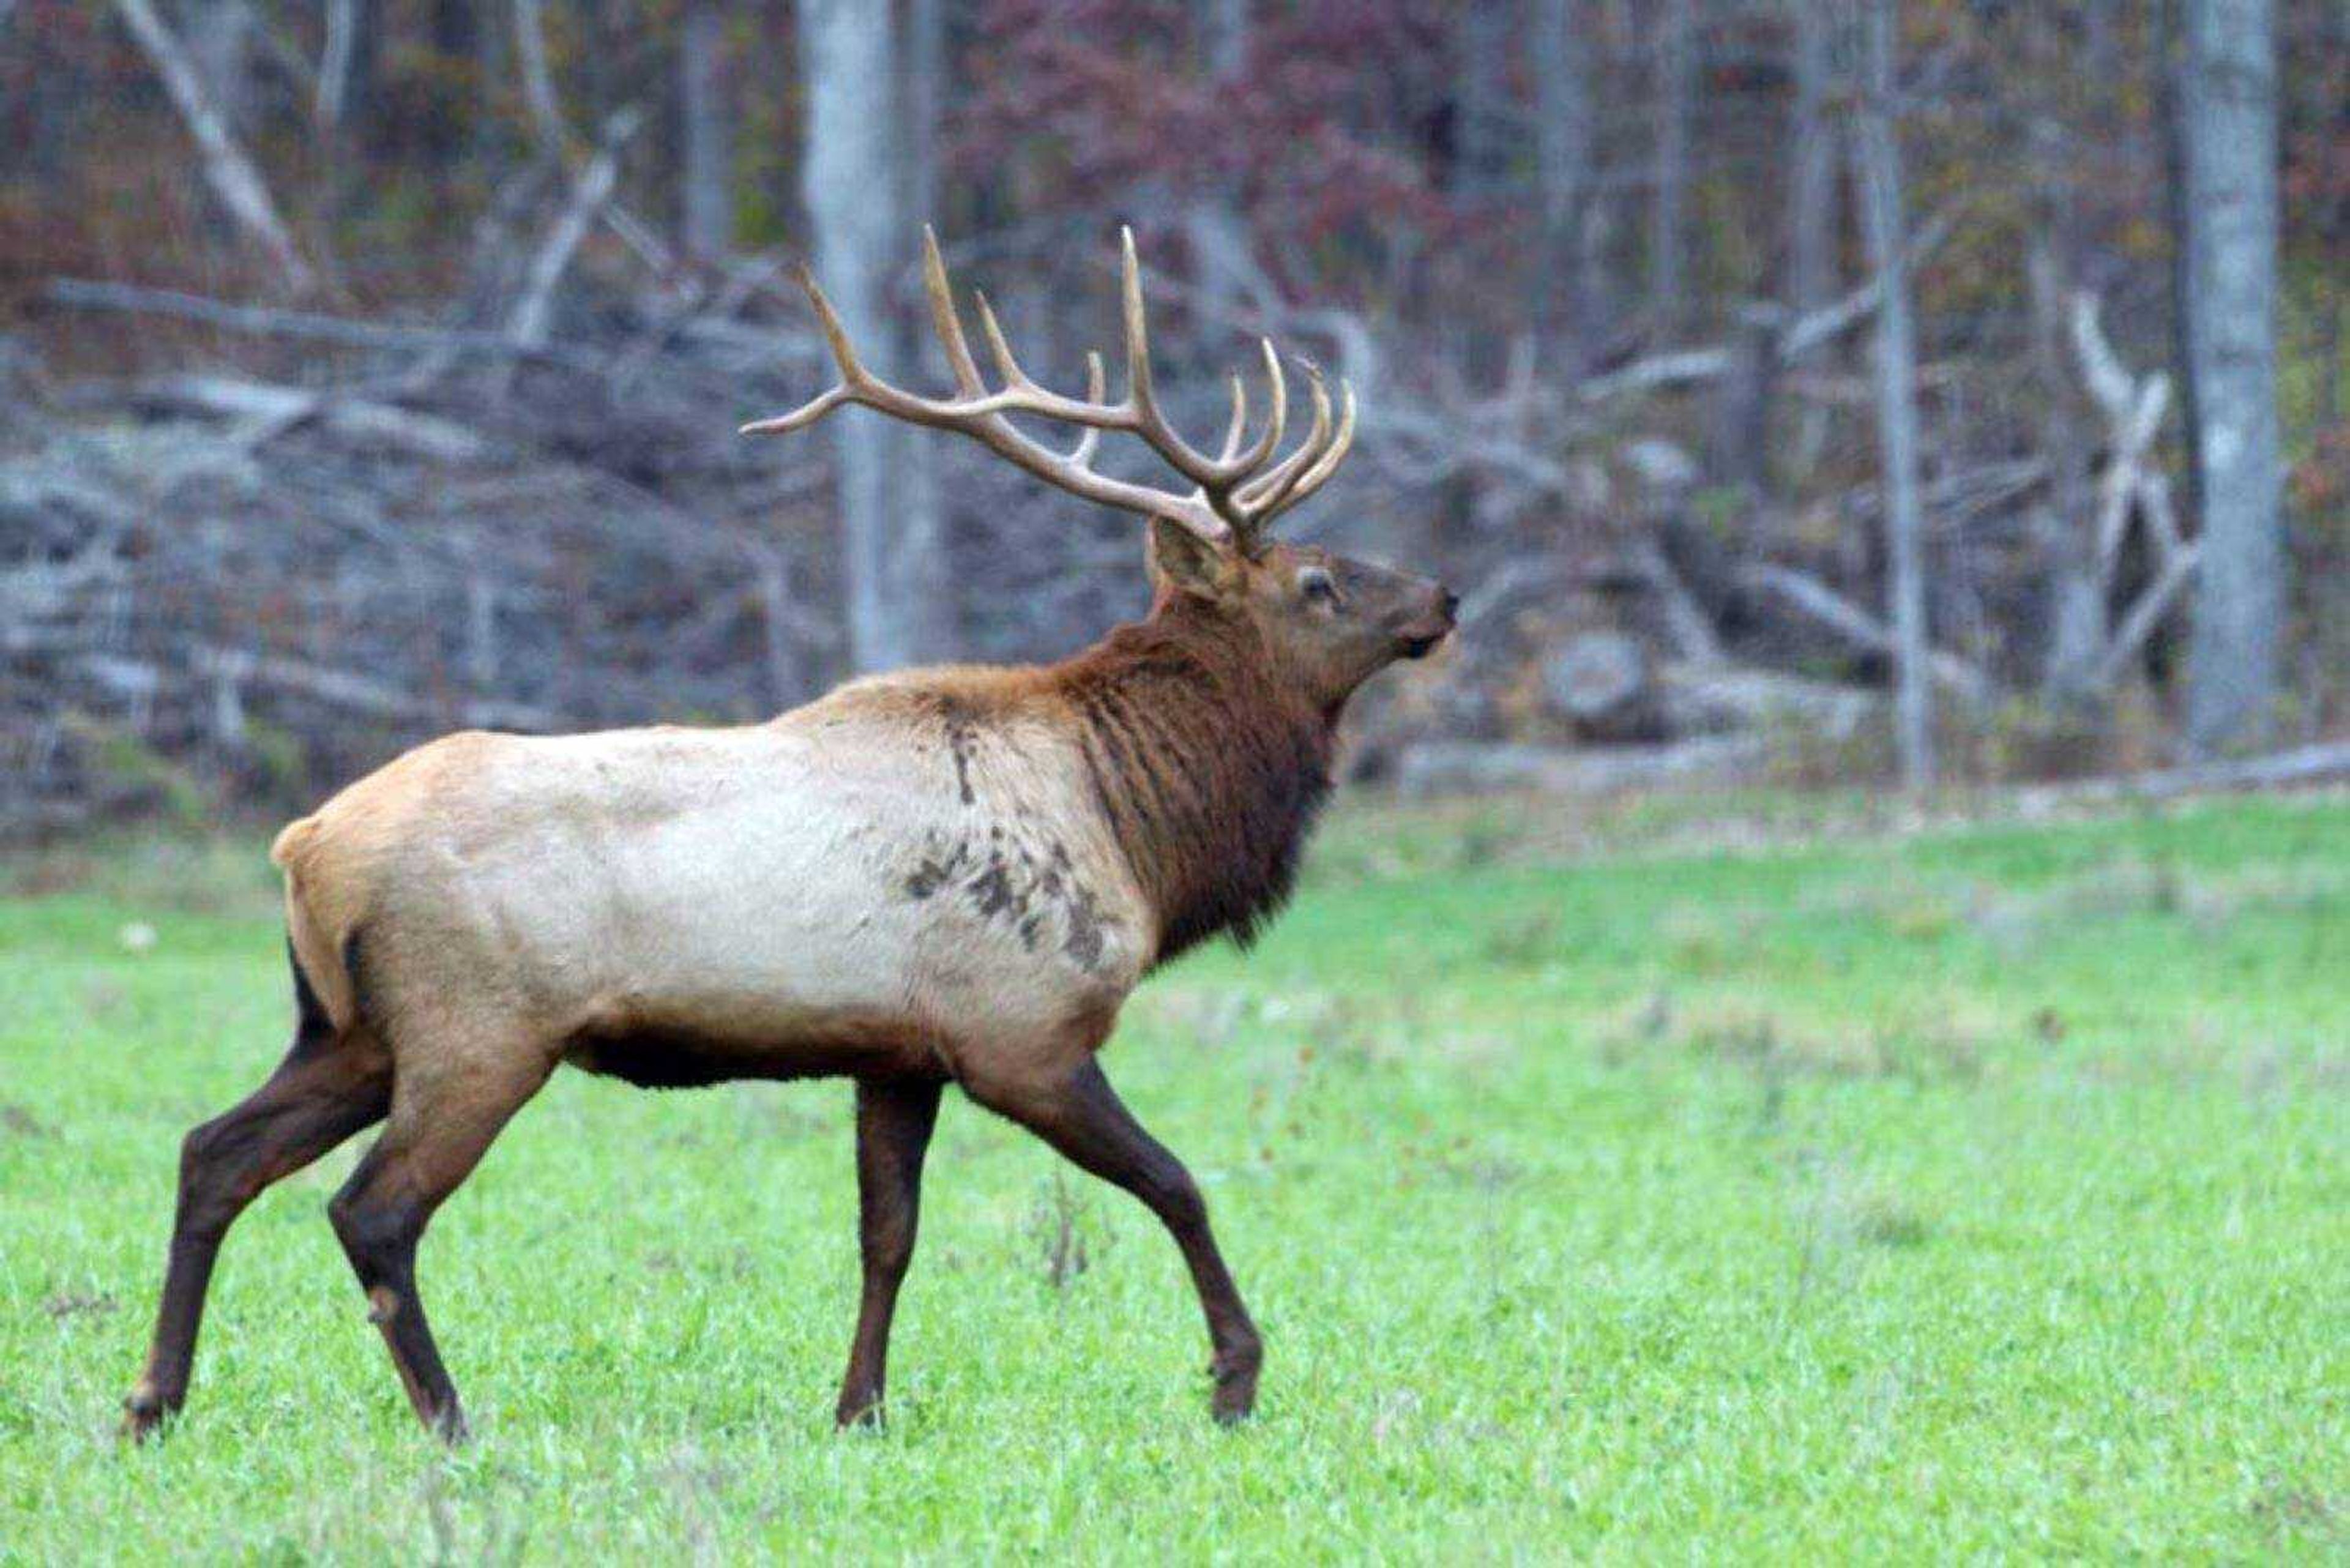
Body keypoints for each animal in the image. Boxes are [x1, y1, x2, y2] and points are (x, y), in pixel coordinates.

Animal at [129, 226, 1457, 1438]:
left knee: (213, 1151)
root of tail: (302, 846)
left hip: (349, 1029)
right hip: (478, 1029)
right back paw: (447, 1417)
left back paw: (153, 1401)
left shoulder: (901, 1051)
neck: (1136, 822)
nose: (1444, 596)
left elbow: (888, 1235)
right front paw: (1236, 1379)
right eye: (1319, 583)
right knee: (371, 1208)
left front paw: (858, 1407)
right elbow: (1179, 1185)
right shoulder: (1021, 1030)